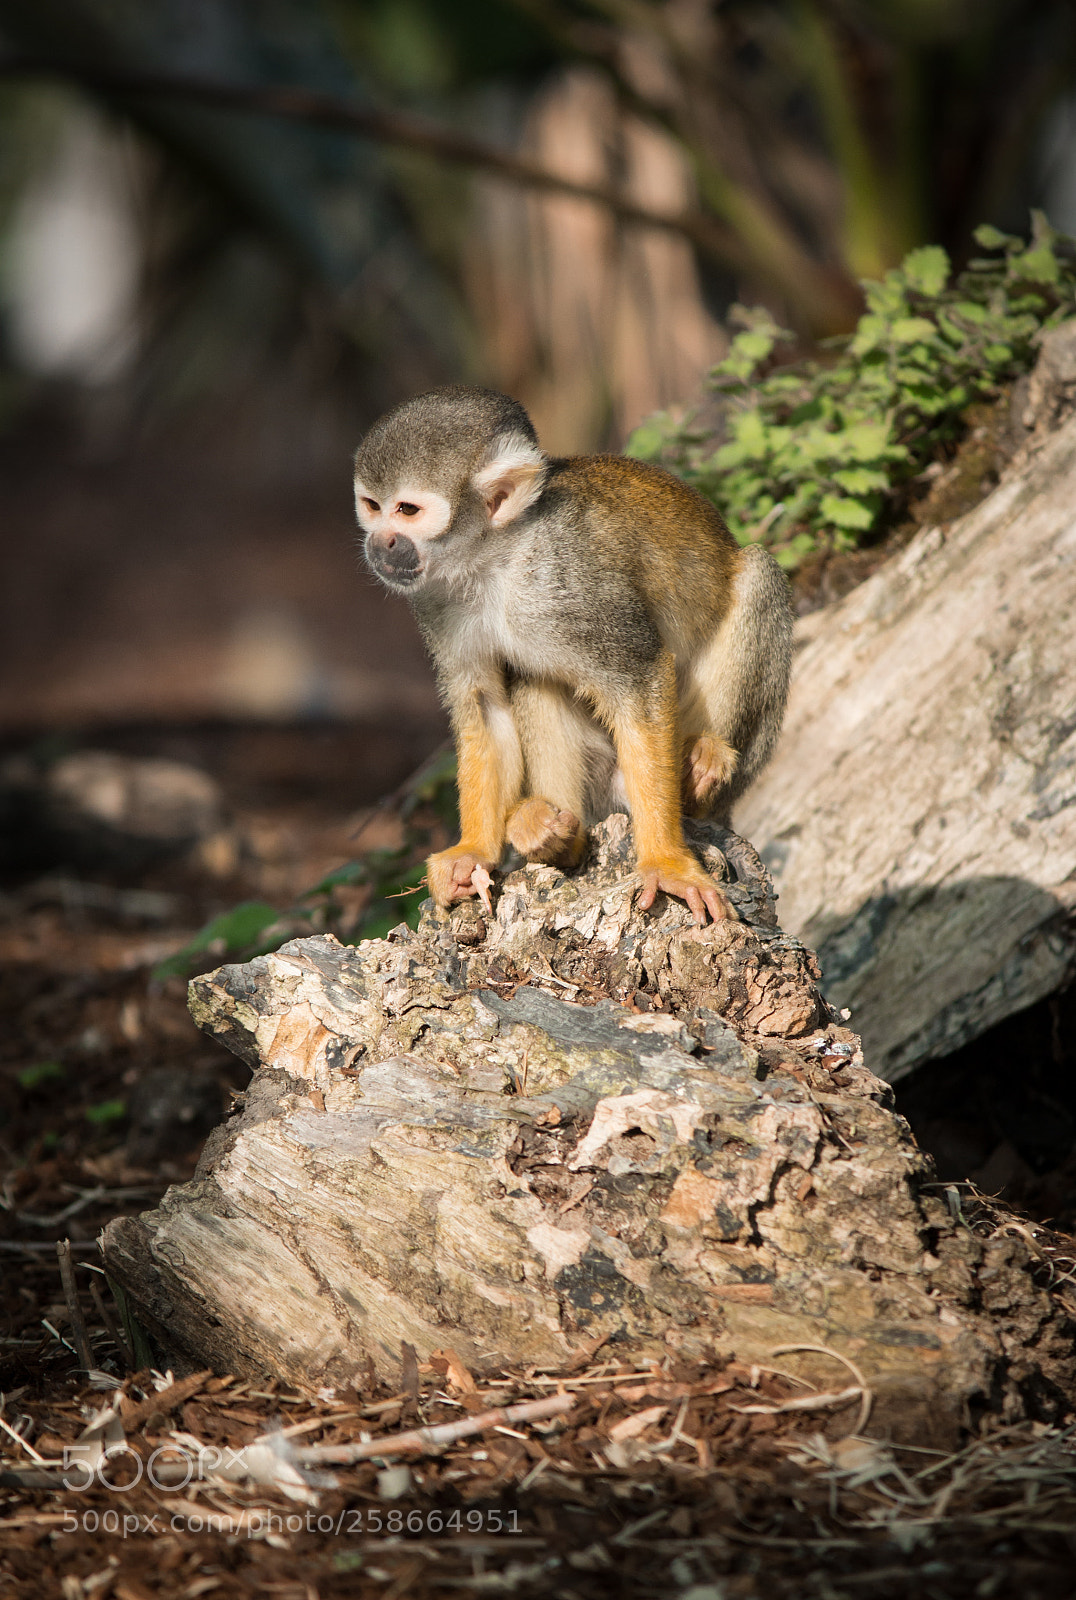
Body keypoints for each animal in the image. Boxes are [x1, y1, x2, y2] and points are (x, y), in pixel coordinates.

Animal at [354, 386, 792, 925]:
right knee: (533, 677)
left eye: (408, 510)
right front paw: (472, 852)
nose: (380, 542)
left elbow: (640, 676)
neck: (496, 559)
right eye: (372, 506)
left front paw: (666, 862)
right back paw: (555, 836)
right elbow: (485, 707)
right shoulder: (436, 601)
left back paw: (701, 772)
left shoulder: (568, 583)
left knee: (758, 575)